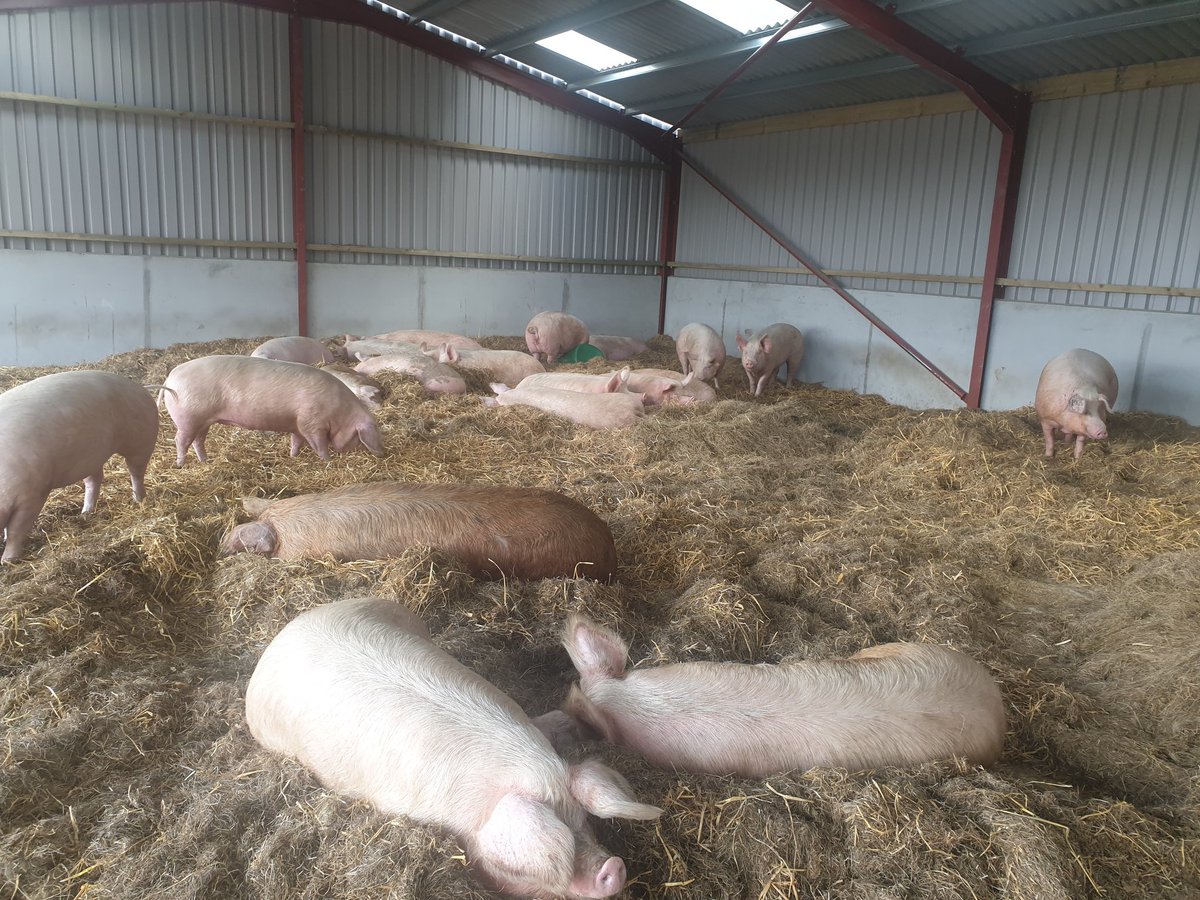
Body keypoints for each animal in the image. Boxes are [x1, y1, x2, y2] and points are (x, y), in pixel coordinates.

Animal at [0, 371, 159, 562]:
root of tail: (141, 388)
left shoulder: (32, 494)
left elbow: (16, 531)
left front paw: (7, 560)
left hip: (141, 440)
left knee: (136, 472)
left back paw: (138, 500)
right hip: (92, 458)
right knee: (94, 480)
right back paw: (85, 513)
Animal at [160, 355, 384, 466]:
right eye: (358, 438)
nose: (381, 453)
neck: (339, 411)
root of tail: (170, 378)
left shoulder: (298, 424)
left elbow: (296, 441)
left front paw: (293, 457)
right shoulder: (311, 423)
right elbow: (318, 445)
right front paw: (327, 461)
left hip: (203, 421)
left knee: (198, 441)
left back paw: (205, 461)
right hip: (188, 418)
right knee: (180, 440)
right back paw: (180, 464)